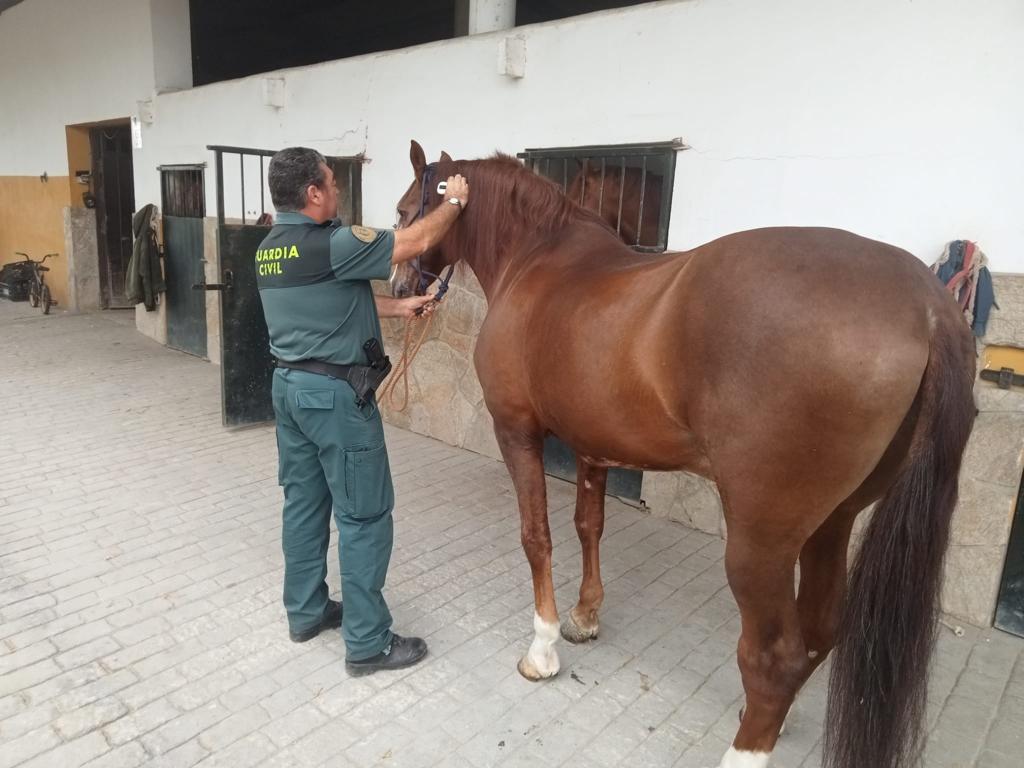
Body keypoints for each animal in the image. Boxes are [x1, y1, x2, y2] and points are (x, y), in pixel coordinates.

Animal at [391, 143, 974, 768]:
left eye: (404, 211)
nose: (399, 288)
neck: (538, 262)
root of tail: (928, 306)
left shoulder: (517, 432)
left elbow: (537, 535)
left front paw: (542, 648)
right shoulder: (593, 445)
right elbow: (588, 525)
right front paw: (584, 617)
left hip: (760, 543)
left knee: (776, 658)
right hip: (833, 522)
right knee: (819, 632)